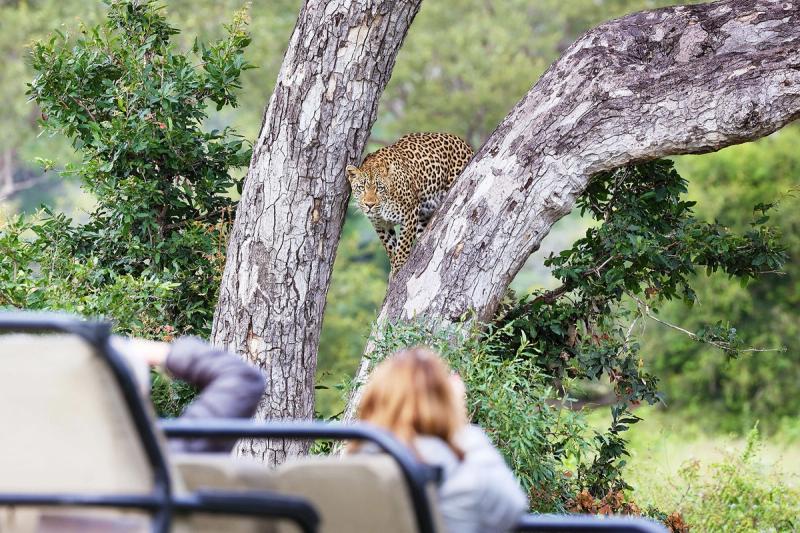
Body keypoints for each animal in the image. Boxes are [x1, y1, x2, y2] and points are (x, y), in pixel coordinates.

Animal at [346, 132, 474, 273]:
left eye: (379, 188)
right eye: (361, 188)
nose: (369, 205)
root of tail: (464, 143)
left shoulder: (410, 213)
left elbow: (403, 244)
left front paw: (397, 268)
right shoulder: (380, 224)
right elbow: (390, 246)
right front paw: (393, 268)